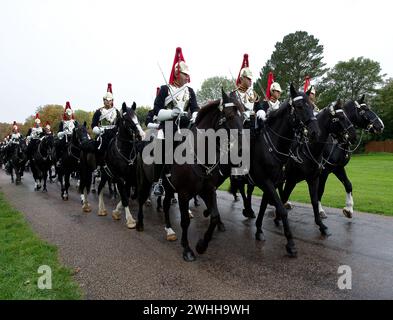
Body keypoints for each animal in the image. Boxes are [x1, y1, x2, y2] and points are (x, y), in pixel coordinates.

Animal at [272, 100, 356, 235]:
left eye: (346, 116)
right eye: (340, 117)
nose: (354, 135)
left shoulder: (322, 174)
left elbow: (316, 198)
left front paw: (322, 223)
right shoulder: (293, 179)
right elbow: (287, 195)